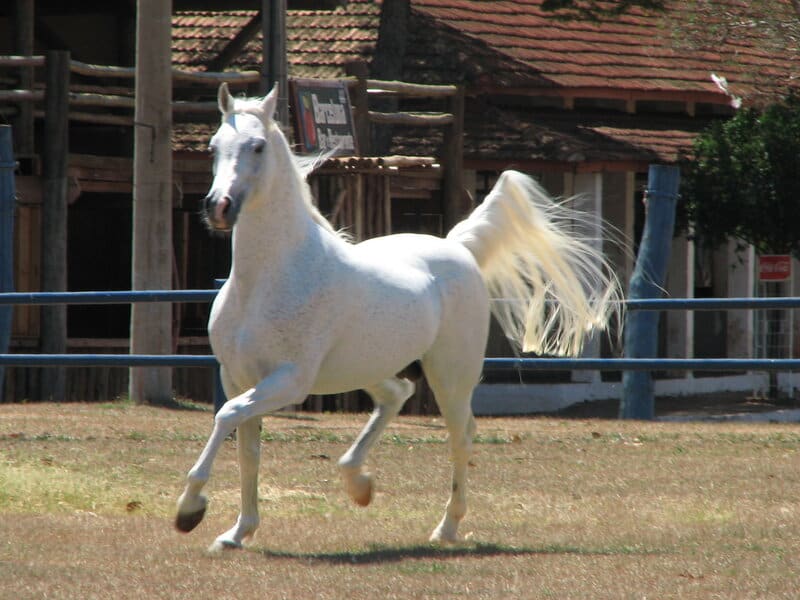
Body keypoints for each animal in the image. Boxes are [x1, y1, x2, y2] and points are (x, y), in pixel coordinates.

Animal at [175, 82, 623, 553]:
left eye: (258, 146)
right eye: (213, 147)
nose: (218, 207)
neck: (268, 279)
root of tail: (457, 247)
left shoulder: (288, 381)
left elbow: (227, 417)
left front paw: (189, 510)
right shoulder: (236, 377)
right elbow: (247, 450)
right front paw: (236, 532)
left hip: (450, 374)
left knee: (461, 435)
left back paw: (446, 527)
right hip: (368, 367)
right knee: (397, 394)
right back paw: (359, 483)